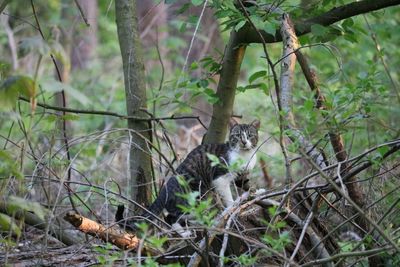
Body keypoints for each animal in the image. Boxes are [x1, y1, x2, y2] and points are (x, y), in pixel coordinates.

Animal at [115, 120, 260, 233]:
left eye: (250, 135)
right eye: (237, 135)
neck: (245, 156)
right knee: (171, 218)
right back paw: (187, 232)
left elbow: (247, 184)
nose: (243, 142)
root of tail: (164, 191)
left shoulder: (242, 176)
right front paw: (232, 207)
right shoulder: (220, 177)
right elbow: (228, 197)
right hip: (194, 198)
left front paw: (257, 192)